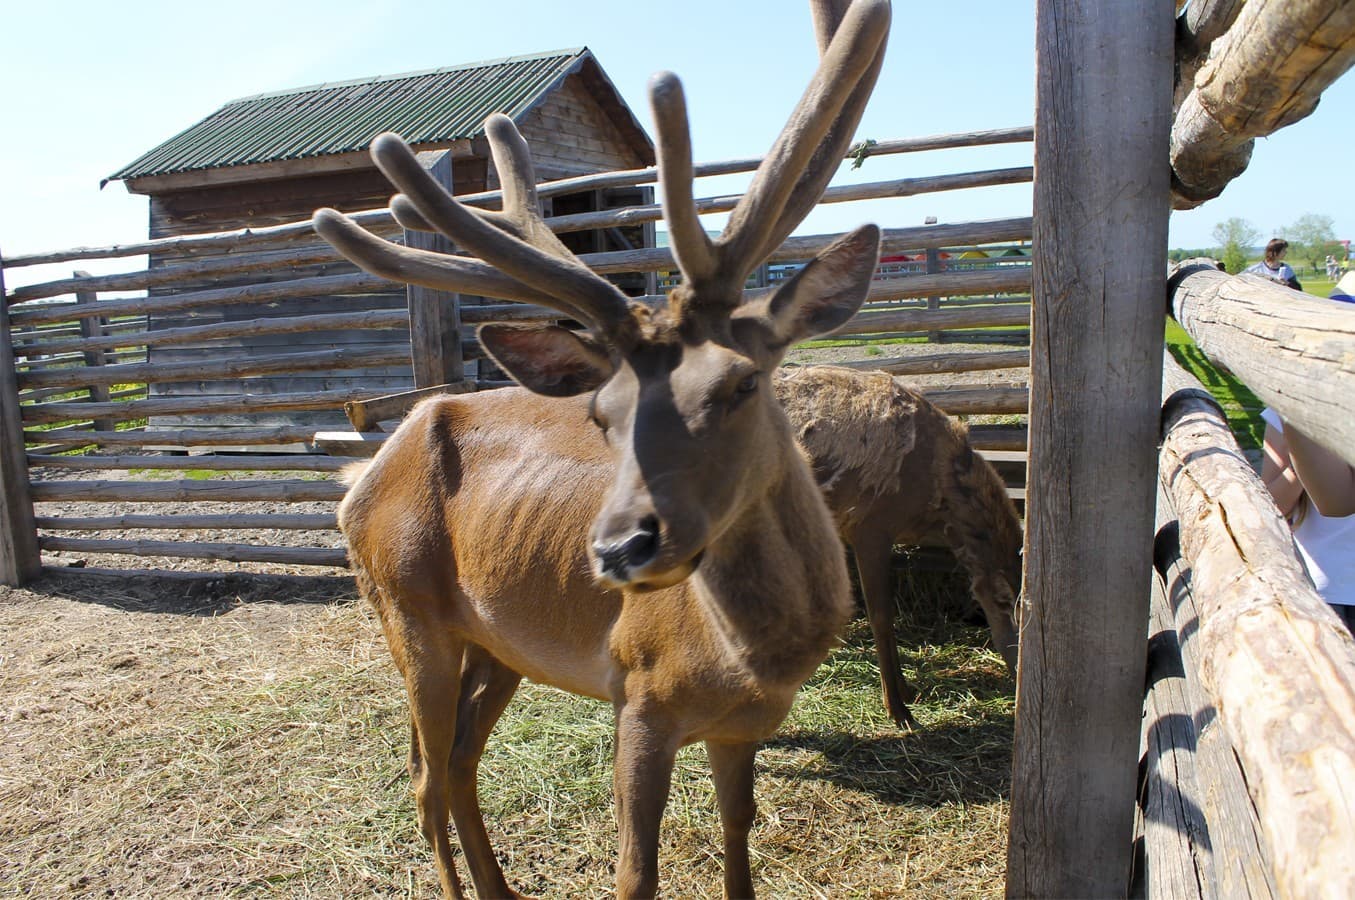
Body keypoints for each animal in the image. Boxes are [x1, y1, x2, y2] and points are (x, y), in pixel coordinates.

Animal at [311, 3, 894, 894]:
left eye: (740, 382)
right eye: (601, 413)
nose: (621, 548)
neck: (754, 660)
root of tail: (359, 471)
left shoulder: (743, 726)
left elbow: (738, 834)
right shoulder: (640, 694)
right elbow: (634, 872)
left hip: (498, 642)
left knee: (457, 759)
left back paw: (501, 888)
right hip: (402, 609)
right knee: (421, 773)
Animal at [775, 363, 1018, 726]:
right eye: (1006, 605)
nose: (1020, 676)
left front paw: (906, 690)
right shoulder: (869, 527)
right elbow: (881, 616)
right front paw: (898, 710)